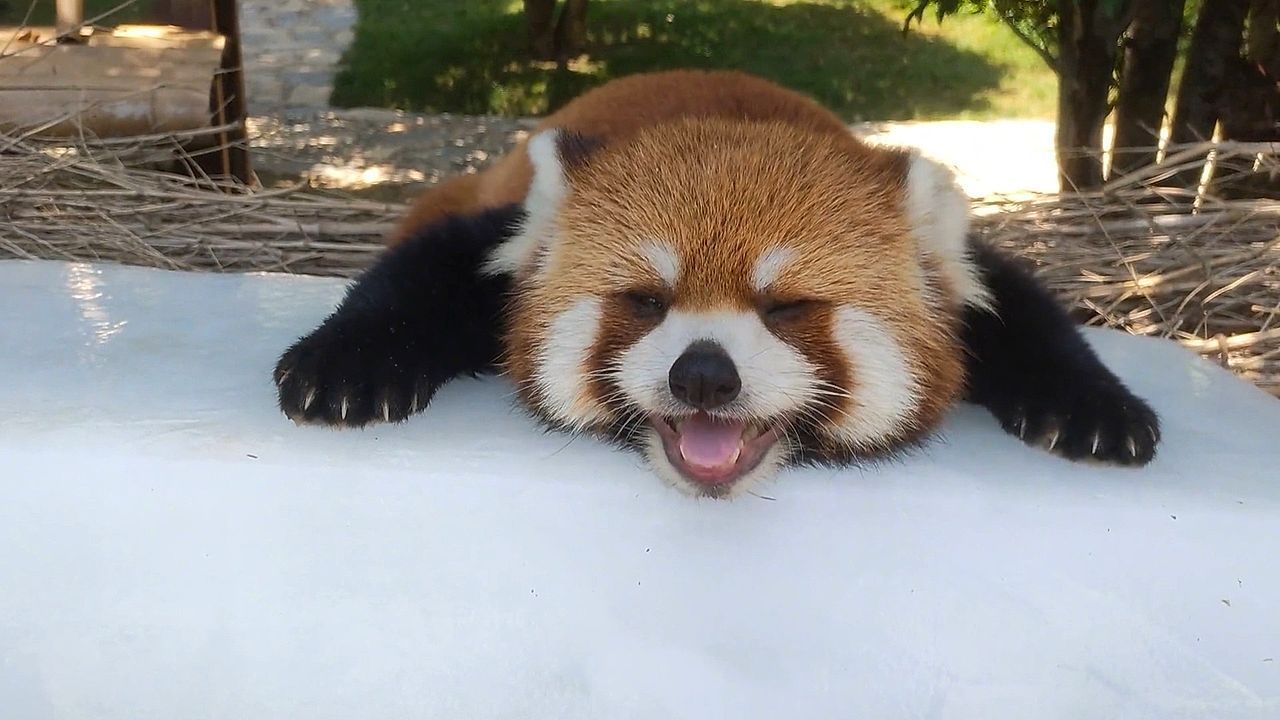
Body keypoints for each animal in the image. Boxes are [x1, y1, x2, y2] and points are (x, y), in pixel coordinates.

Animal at [273, 69, 1160, 498]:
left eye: (787, 307)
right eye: (645, 301)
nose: (702, 374)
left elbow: (1019, 305)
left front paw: (1095, 410)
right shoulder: (504, 240)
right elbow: (428, 271)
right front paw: (342, 367)